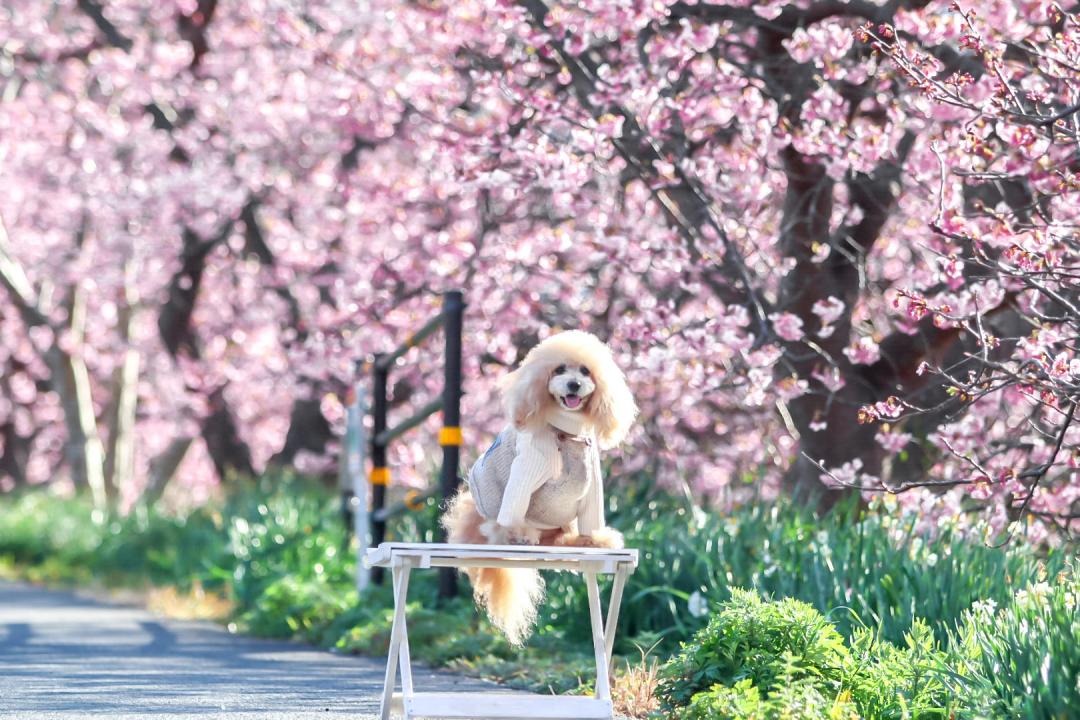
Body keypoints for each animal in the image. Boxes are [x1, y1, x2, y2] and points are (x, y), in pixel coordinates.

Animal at [442, 330, 635, 643]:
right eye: (559, 370)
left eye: (585, 371)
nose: (574, 384)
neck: (566, 434)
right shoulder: (525, 471)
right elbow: (513, 512)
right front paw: (518, 535)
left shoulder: (592, 483)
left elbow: (592, 518)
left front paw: (597, 539)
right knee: (498, 528)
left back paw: (574, 541)